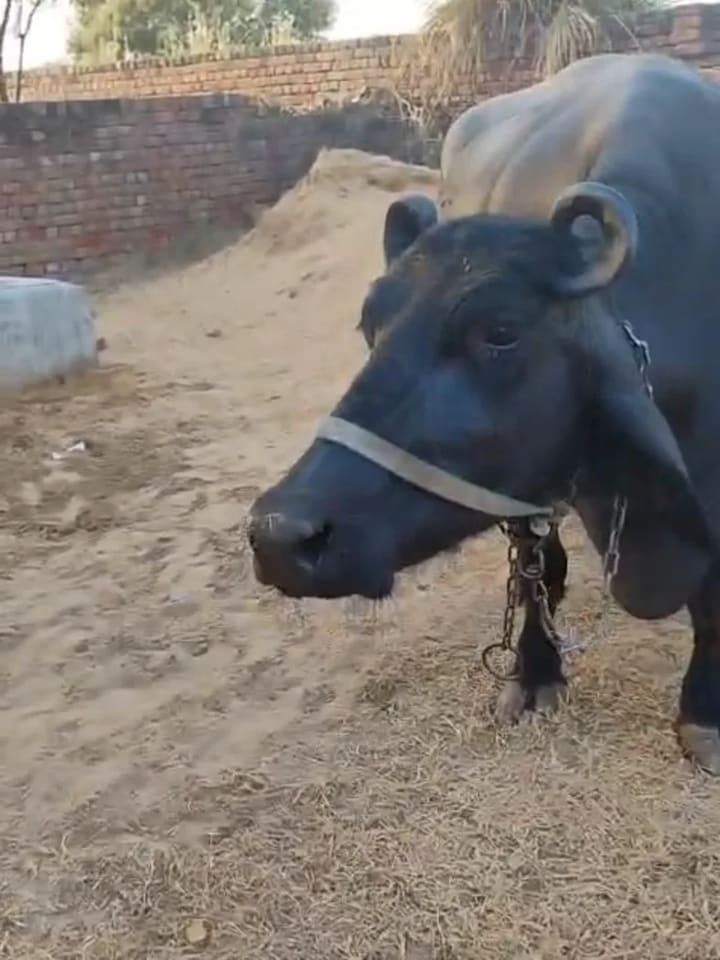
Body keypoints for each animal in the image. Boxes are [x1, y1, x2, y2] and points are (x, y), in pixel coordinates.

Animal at [248, 52, 720, 775]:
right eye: (371, 325)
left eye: (500, 331)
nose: (280, 536)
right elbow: (533, 572)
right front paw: (534, 672)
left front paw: (703, 715)